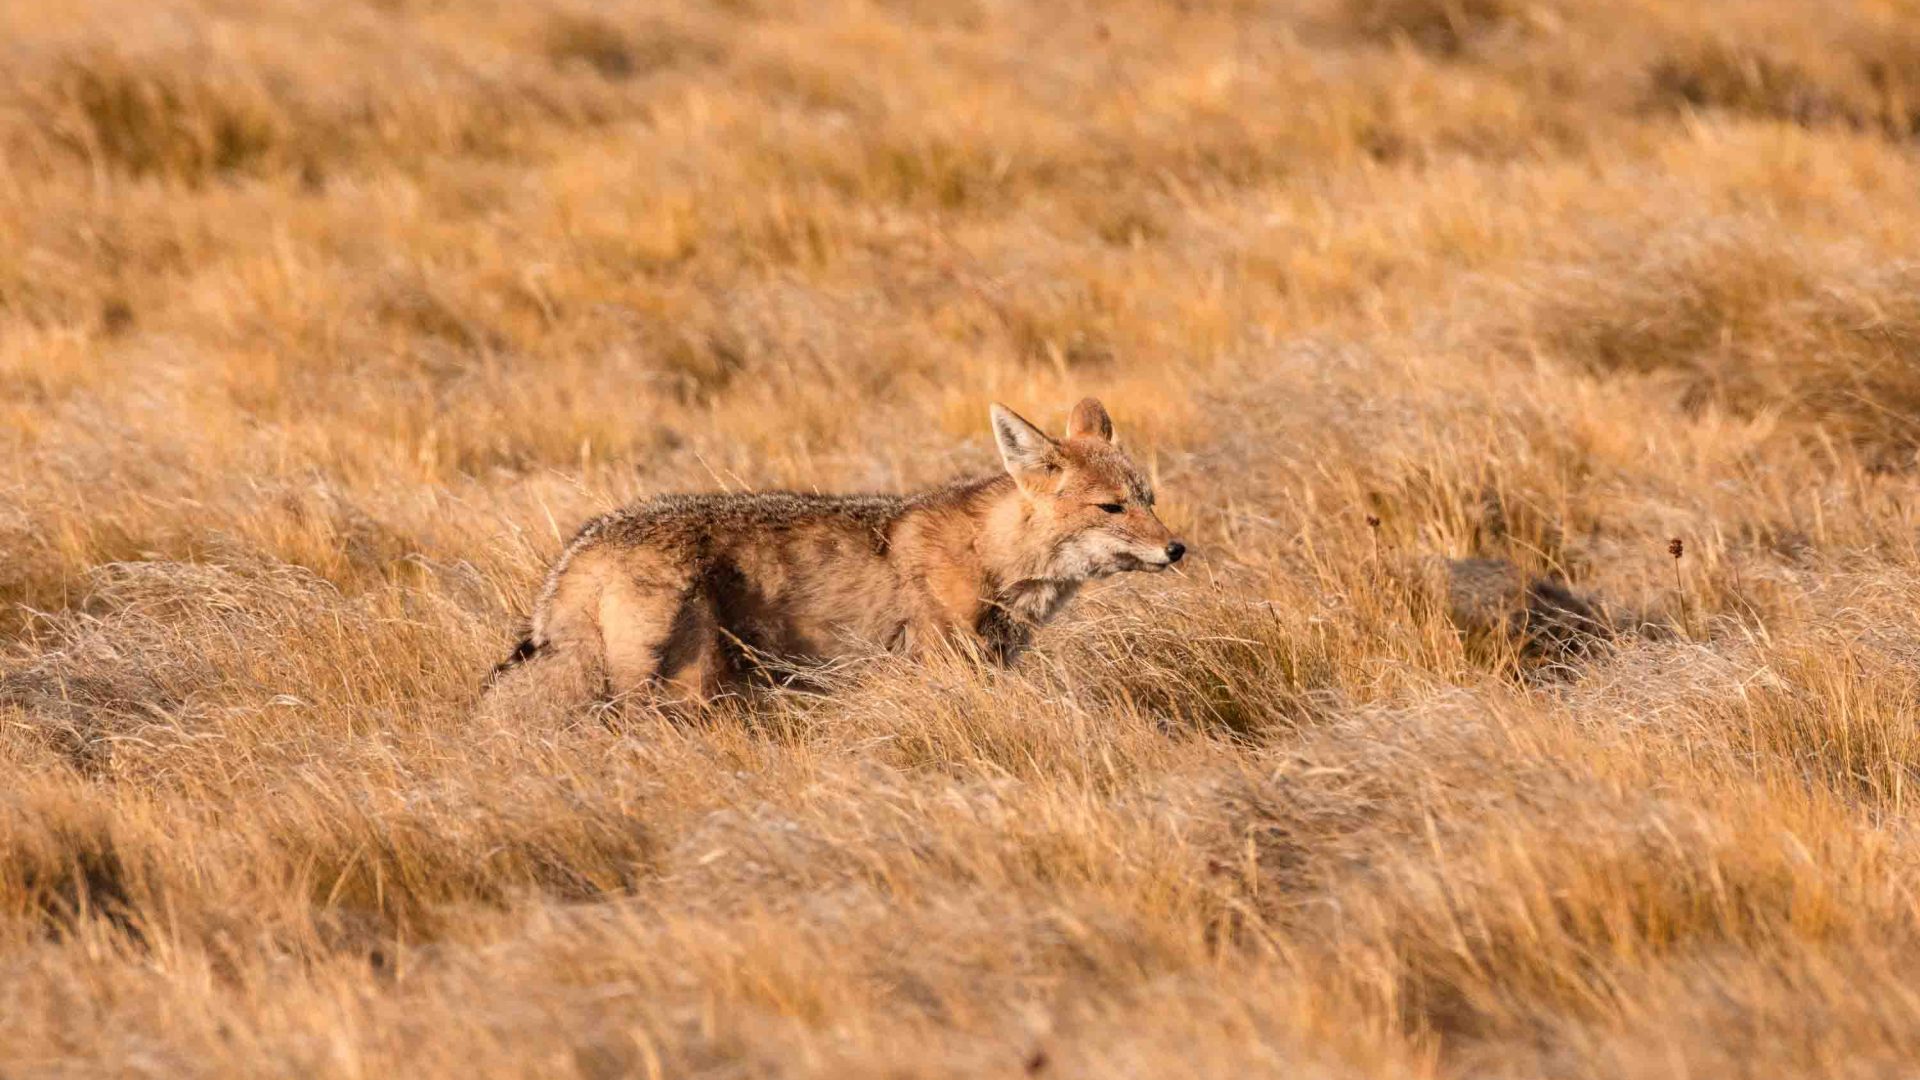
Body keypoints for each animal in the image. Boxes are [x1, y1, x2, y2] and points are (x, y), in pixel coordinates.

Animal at [483, 397, 1186, 712]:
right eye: (1112, 509)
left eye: (1149, 499)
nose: (1177, 548)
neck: (991, 554)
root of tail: (586, 543)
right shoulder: (943, 669)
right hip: (685, 688)